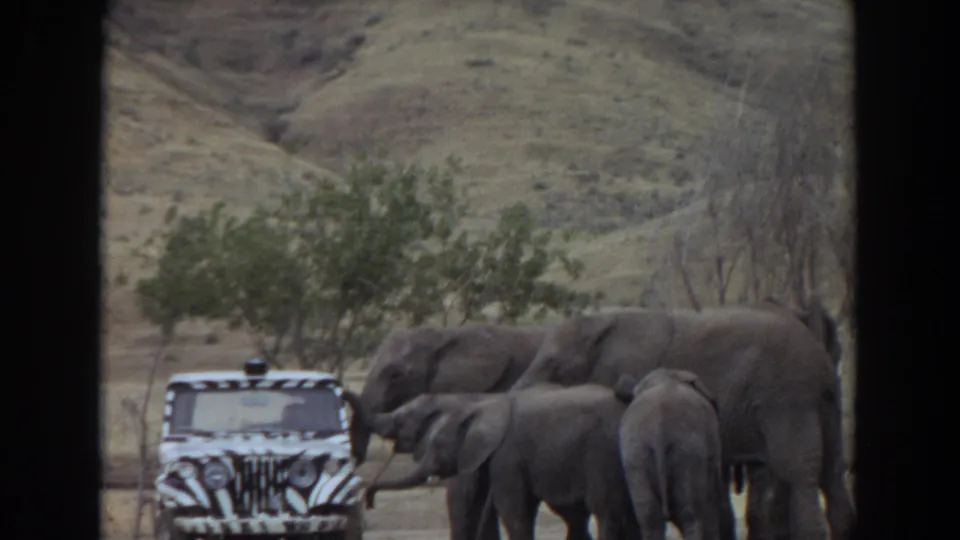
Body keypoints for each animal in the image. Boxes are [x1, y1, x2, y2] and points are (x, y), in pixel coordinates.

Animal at [364, 385, 639, 540]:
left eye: (439, 445)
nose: (369, 500)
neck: (481, 406)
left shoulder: (507, 456)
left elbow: (514, 511)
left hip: (602, 455)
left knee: (606, 513)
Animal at [614, 369, 736, 540]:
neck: (670, 376)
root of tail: (658, 429)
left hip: (635, 454)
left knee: (649, 518)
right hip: (689, 451)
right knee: (691, 512)